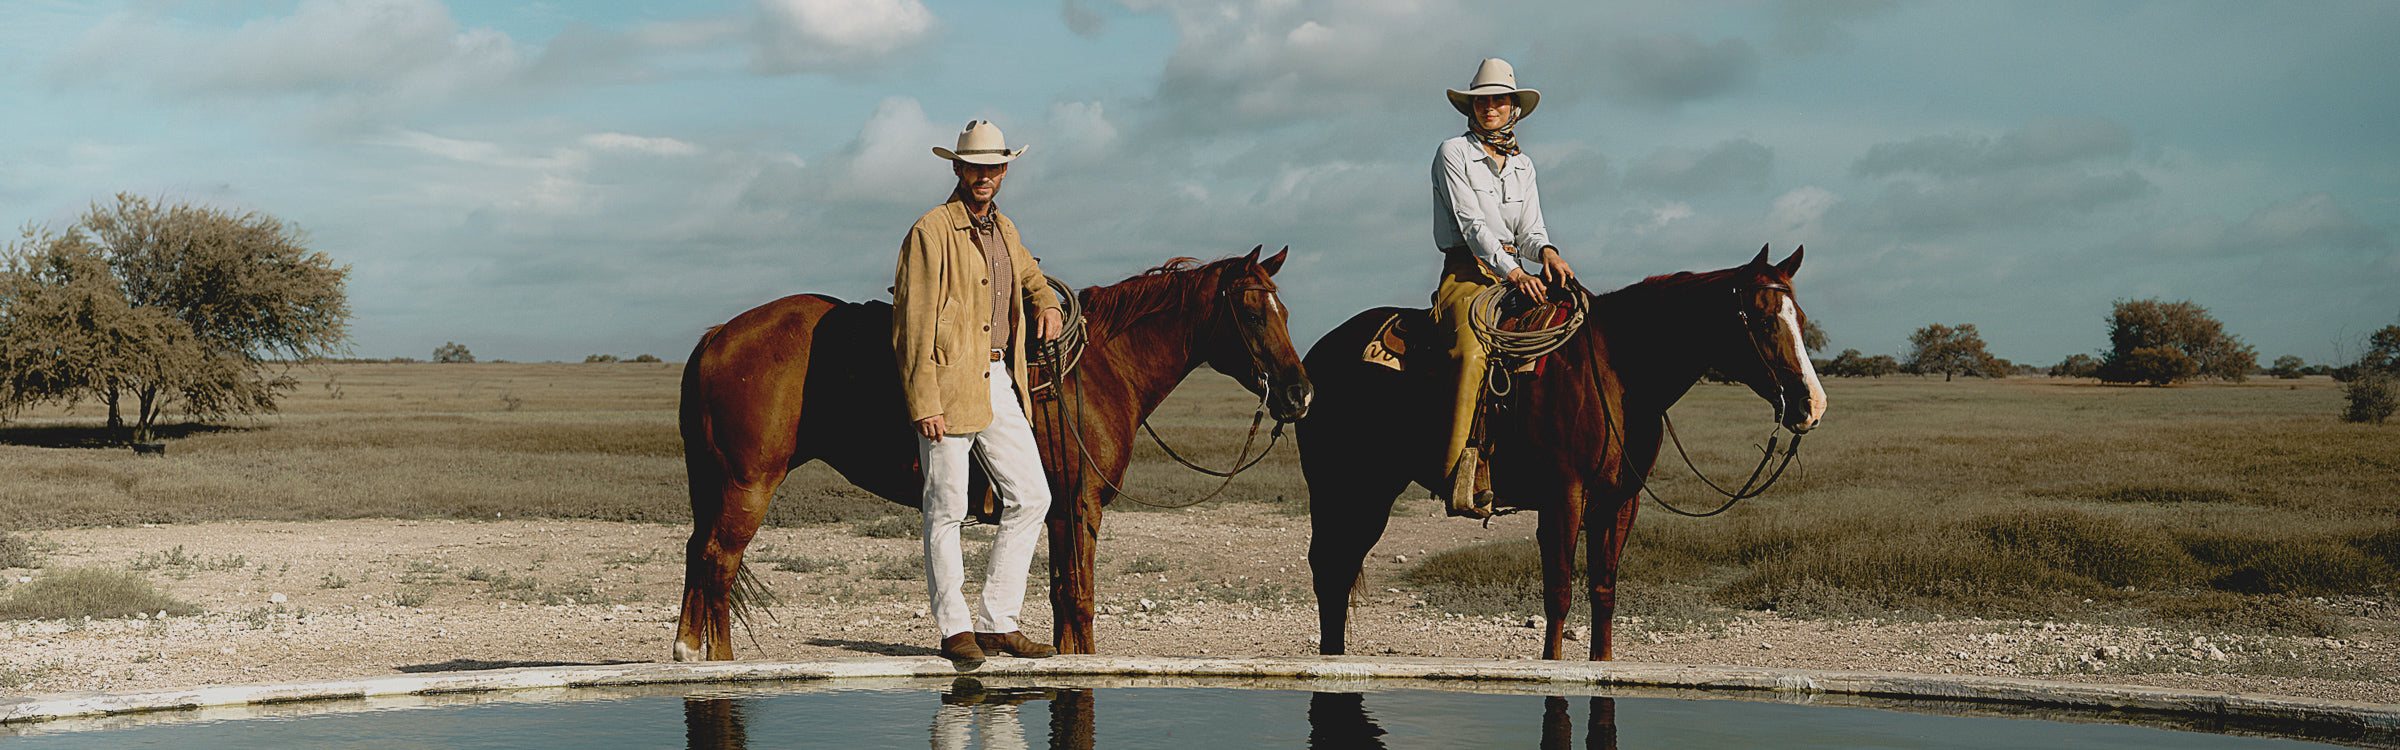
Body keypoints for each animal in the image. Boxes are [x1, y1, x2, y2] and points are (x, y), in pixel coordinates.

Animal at [676, 246, 1315, 653]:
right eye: (1252, 311)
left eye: (1284, 309)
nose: (1299, 393)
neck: (1099, 370)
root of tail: (718, 335)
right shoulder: (1082, 507)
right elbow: (1080, 602)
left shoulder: (1057, 511)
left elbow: (1062, 602)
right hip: (749, 482)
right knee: (719, 562)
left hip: (716, 482)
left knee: (696, 553)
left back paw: (687, 652)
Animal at [1305, 245, 1824, 653]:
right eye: (1763, 321)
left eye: (1800, 320)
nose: (1811, 404)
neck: (1617, 369)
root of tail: (1315, 354)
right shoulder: (1563, 496)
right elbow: (1558, 594)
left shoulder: (1620, 500)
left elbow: (1603, 591)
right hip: (1345, 490)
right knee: (1329, 568)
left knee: (1339, 568)